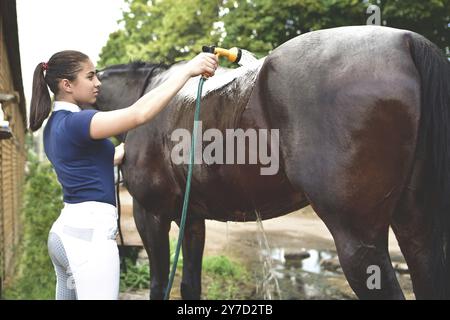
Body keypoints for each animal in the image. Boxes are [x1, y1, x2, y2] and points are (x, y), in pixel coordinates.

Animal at [95, 25, 450, 300]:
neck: (146, 96)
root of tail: (405, 41)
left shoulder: (150, 214)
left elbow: (158, 285)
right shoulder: (192, 220)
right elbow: (189, 285)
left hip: (358, 237)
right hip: (417, 227)